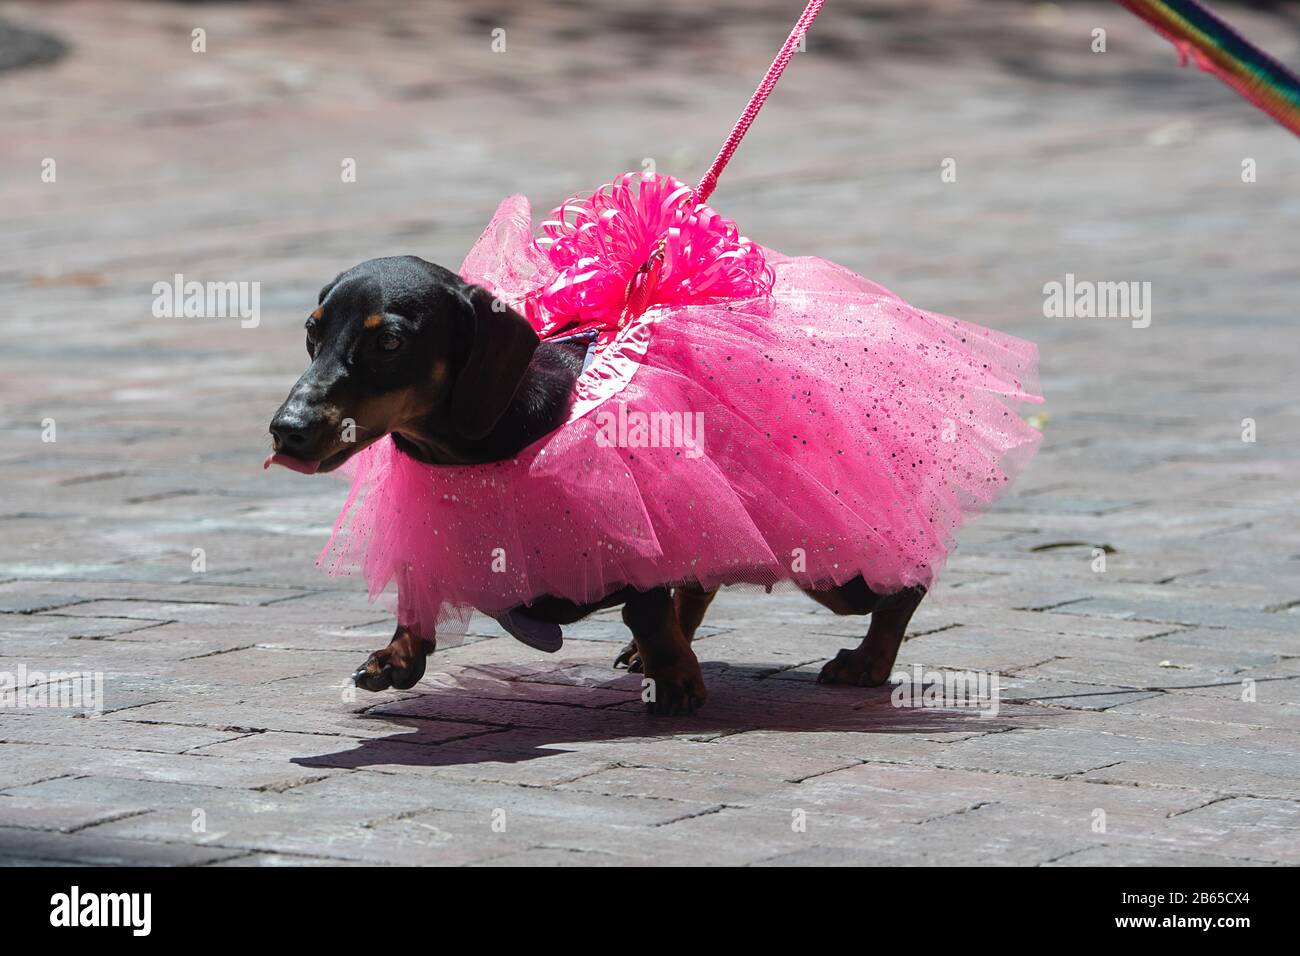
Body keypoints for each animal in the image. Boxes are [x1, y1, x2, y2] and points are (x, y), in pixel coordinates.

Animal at [271, 257, 925, 712]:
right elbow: (418, 588)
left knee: (904, 586)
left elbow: (645, 606)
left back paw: (867, 661)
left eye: (389, 341)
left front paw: (675, 677)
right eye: (312, 333)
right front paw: (398, 654)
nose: (287, 430)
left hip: (833, 570)